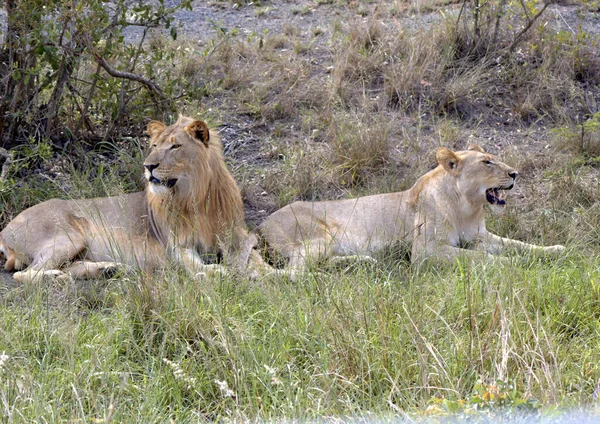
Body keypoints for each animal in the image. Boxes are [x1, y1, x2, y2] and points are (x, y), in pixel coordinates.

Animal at [0, 115, 268, 282]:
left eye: (175, 147)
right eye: (155, 145)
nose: (148, 166)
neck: (196, 197)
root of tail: (5, 230)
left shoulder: (234, 234)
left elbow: (255, 257)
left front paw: (269, 272)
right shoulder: (176, 246)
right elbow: (195, 266)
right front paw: (216, 271)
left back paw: (107, 270)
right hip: (68, 237)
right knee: (23, 274)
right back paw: (56, 277)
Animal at [260, 145, 564, 272]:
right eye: (487, 162)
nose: (515, 173)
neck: (467, 207)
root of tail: (261, 224)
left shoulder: (479, 236)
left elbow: (518, 244)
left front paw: (554, 251)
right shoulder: (426, 250)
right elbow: (476, 258)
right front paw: (511, 264)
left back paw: (363, 263)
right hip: (316, 238)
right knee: (292, 274)